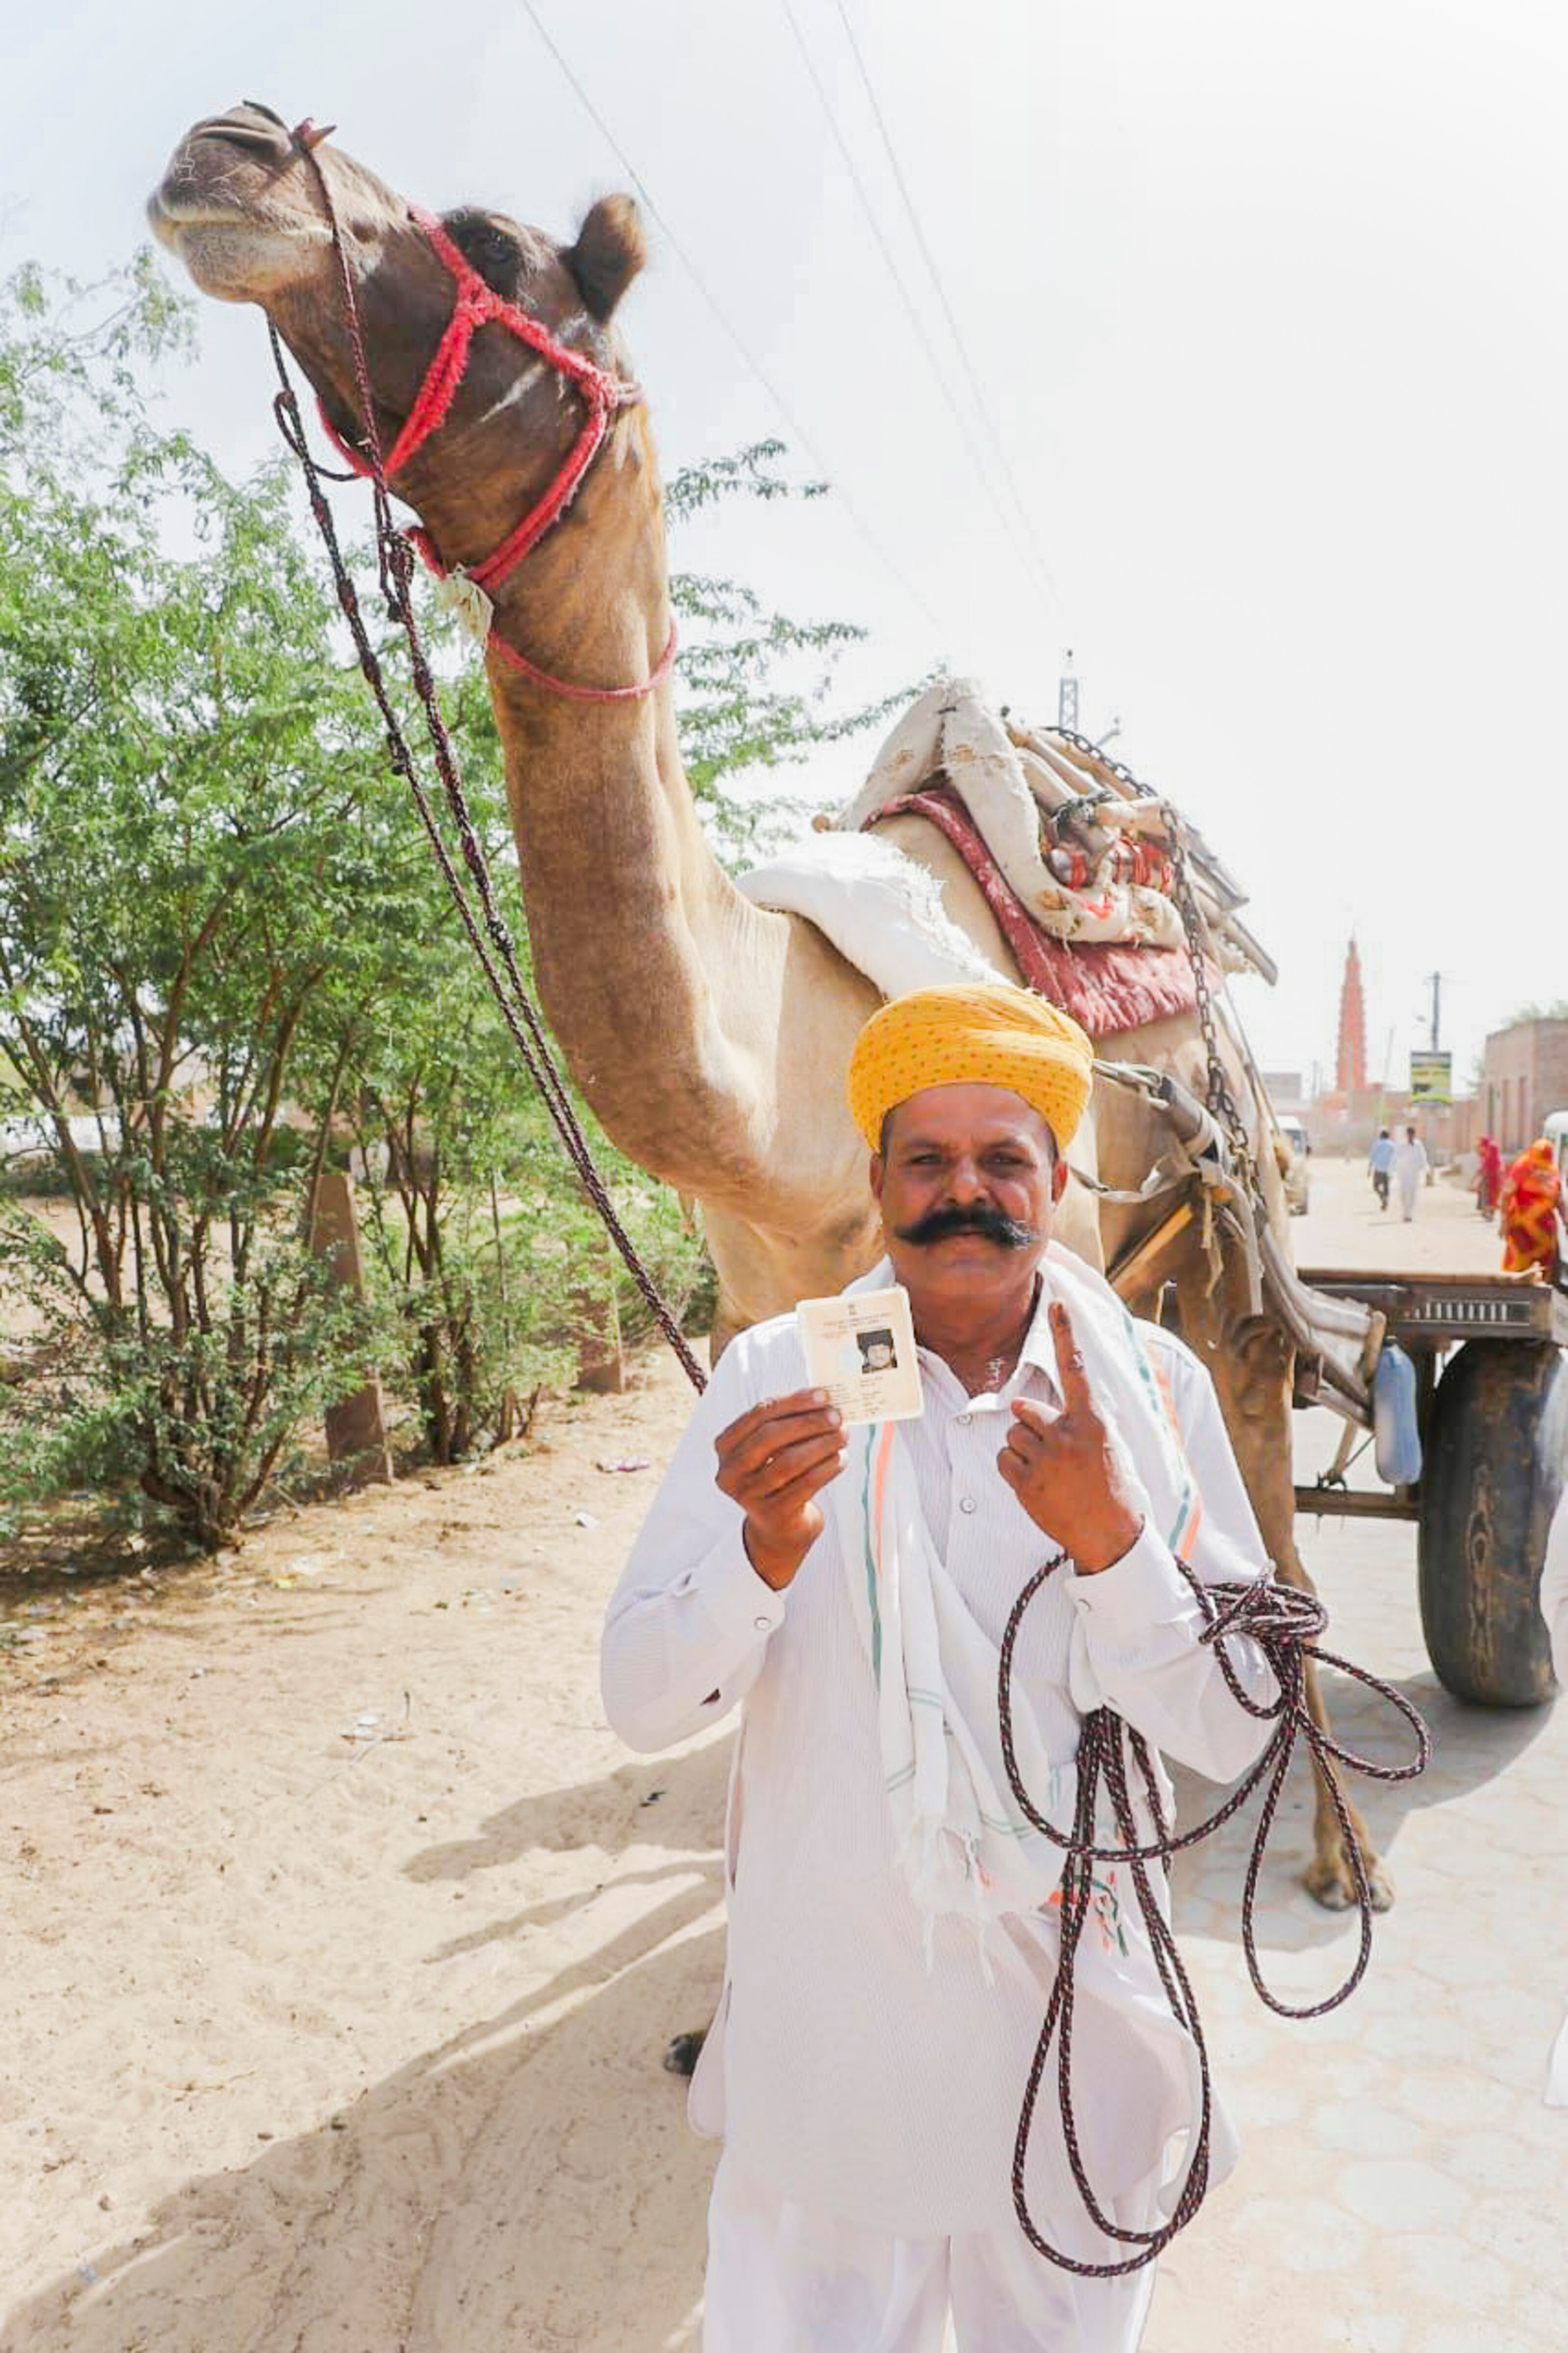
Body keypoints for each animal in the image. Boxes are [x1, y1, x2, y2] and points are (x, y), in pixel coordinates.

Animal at [149, 106, 1384, 1910]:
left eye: (492, 244)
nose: (223, 148)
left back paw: (1337, 1851)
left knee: (1259, 1455)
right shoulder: (751, 1307)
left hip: (1223, 1205)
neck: (781, 1099)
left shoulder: (1058, 1279)